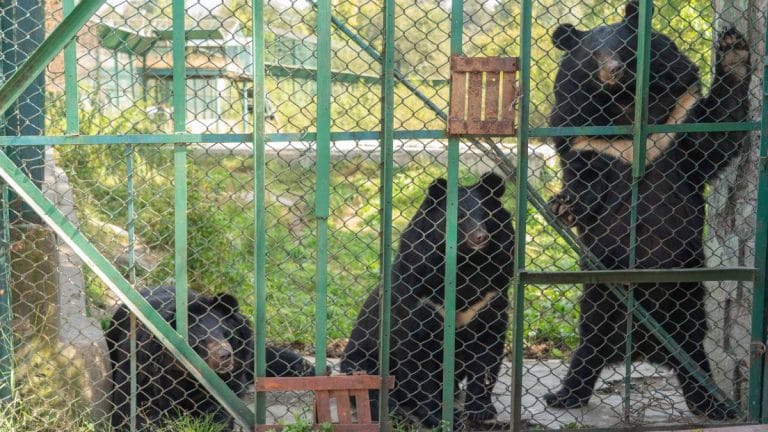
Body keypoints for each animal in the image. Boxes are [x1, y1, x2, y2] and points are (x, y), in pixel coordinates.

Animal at [106, 286, 316, 431]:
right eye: (202, 341)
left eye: (225, 334)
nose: (225, 356)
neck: (190, 377)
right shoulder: (146, 371)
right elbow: (136, 408)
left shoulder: (229, 380)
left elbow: (218, 412)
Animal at [340, 172, 515, 428]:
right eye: (460, 217)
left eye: (486, 215)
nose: (480, 237)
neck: (466, 264)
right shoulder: (421, 295)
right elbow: (421, 361)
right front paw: (439, 416)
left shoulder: (491, 295)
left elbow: (487, 349)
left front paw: (481, 411)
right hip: (362, 360)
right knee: (371, 389)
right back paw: (399, 414)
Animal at [544, 1, 752, 421]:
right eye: (594, 55)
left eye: (626, 51)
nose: (613, 71)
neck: (625, 107)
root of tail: (641, 350)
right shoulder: (585, 139)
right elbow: (587, 184)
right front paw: (564, 204)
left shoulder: (676, 124)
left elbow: (717, 128)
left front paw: (733, 49)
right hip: (600, 294)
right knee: (588, 345)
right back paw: (564, 395)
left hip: (685, 296)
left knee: (693, 351)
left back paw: (711, 404)